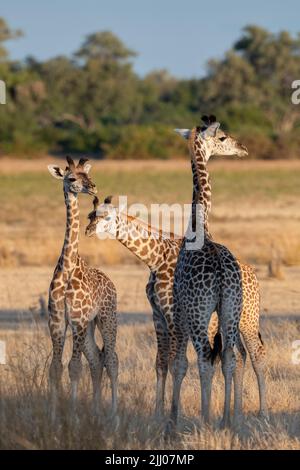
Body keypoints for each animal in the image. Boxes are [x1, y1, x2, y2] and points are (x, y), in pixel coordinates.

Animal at [47, 157, 118, 418]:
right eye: (72, 178)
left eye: (87, 175)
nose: (93, 187)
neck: (67, 269)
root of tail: (111, 282)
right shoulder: (57, 321)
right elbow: (56, 368)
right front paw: (53, 417)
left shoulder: (76, 319)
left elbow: (74, 367)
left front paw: (73, 417)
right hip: (88, 326)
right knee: (97, 359)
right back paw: (96, 412)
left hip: (107, 318)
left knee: (112, 359)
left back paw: (113, 416)